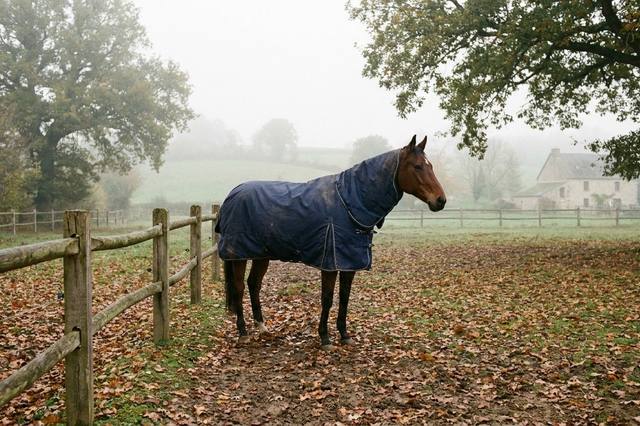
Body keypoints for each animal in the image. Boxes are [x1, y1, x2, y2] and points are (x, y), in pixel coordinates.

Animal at [215, 135, 446, 349]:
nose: (440, 200)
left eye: (430, 166)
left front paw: (344, 335)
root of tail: (232, 194)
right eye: (417, 166)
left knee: (254, 284)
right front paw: (325, 338)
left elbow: (344, 298)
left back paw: (262, 326)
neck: (349, 202)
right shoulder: (330, 263)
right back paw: (243, 333)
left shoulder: (349, 263)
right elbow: (327, 298)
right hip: (239, 255)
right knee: (239, 288)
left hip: (261, 254)